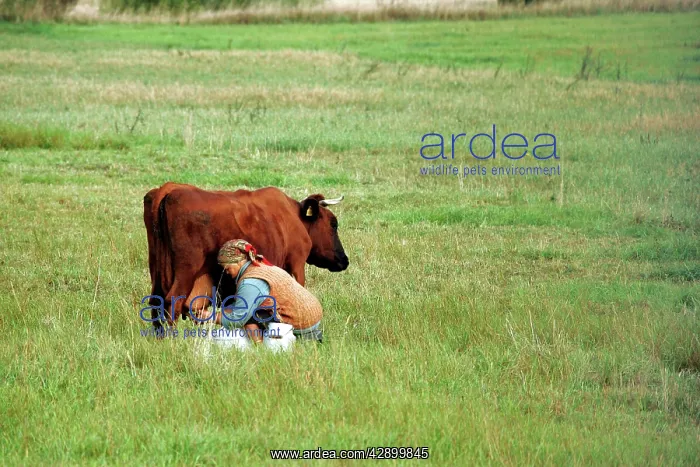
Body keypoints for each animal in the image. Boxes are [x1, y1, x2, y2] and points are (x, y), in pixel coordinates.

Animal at [144, 183, 349, 327]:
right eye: (333, 224)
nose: (344, 260)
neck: (293, 216)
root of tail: (168, 190)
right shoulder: (297, 264)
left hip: (156, 270)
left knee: (156, 302)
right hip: (185, 271)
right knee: (173, 302)